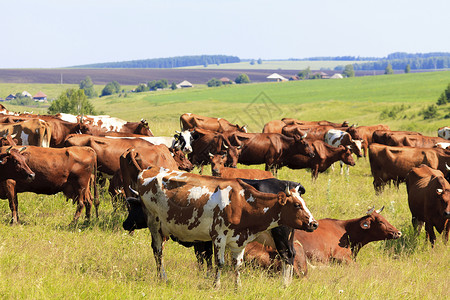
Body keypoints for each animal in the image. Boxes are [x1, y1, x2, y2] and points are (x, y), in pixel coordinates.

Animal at [134, 166, 320, 288]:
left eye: (302, 203)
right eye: (297, 205)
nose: (314, 223)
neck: (241, 201)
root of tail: (148, 170)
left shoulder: (240, 240)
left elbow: (236, 264)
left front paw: (237, 287)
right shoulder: (218, 237)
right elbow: (218, 262)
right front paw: (215, 285)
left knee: (288, 255)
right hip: (154, 223)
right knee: (158, 251)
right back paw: (162, 278)